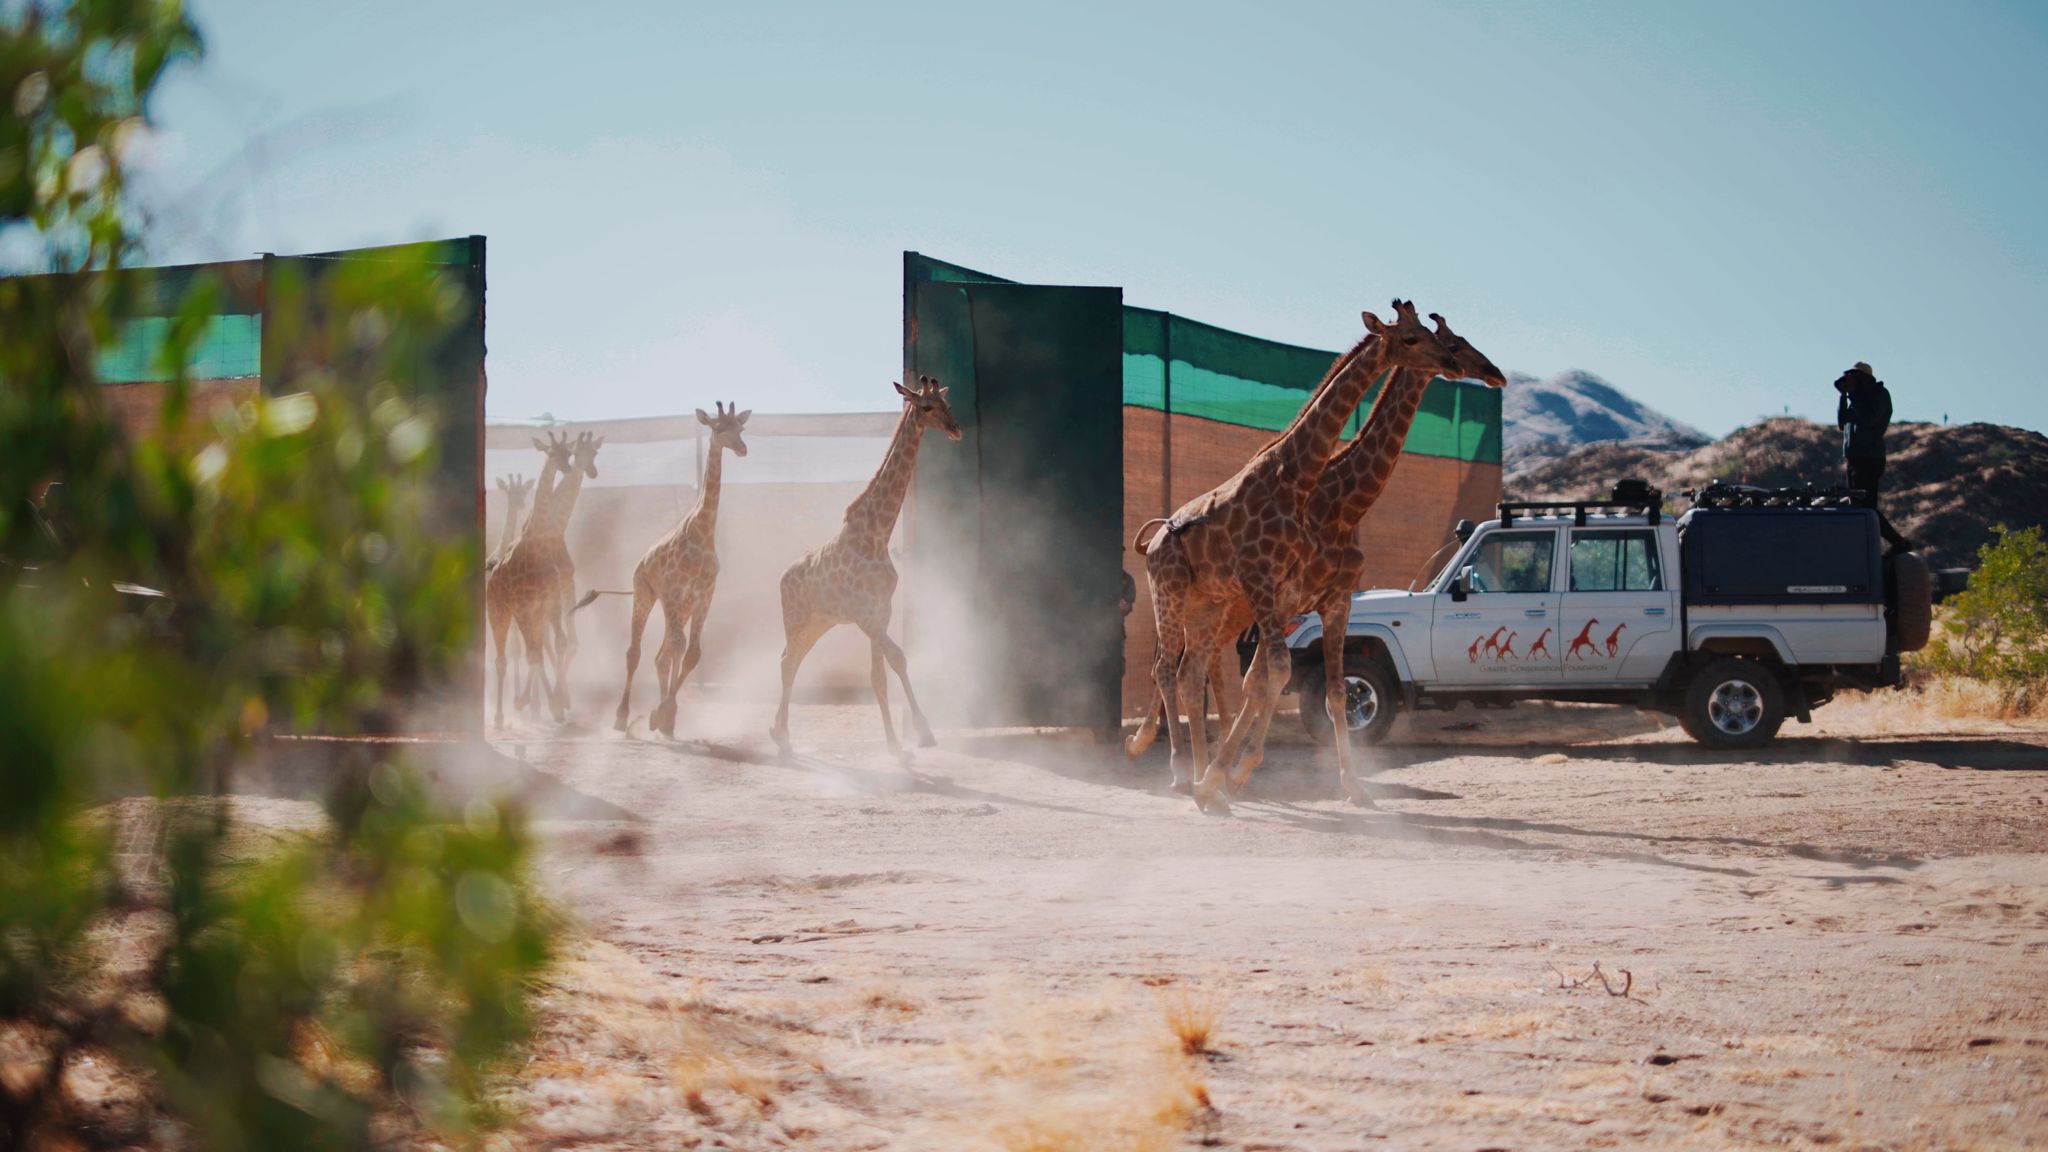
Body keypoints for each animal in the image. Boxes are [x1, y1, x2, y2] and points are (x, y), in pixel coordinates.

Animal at [614, 399, 761, 729]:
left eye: (741, 428)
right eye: (718, 428)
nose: (742, 448)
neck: (703, 533)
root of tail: (641, 560)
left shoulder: (704, 593)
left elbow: (692, 652)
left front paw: (666, 713)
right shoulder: (672, 589)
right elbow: (680, 648)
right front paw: (663, 711)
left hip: (681, 606)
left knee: (662, 654)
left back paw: (663, 719)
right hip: (645, 593)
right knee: (635, 652)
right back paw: (621, 717)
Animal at [770, 373, 962, 758]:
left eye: (947, 403)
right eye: (926, 406)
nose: (955, 429)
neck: (877, 534)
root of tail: (783, 577)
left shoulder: (881, 611)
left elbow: (879, 675)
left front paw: (894, 744)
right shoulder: (864, 615)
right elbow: (898, 658)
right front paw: (924, 732)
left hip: (818, 622)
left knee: (791, 660)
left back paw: (779, 733)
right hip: (796, 618)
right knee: (787, 662)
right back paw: (781, 739)